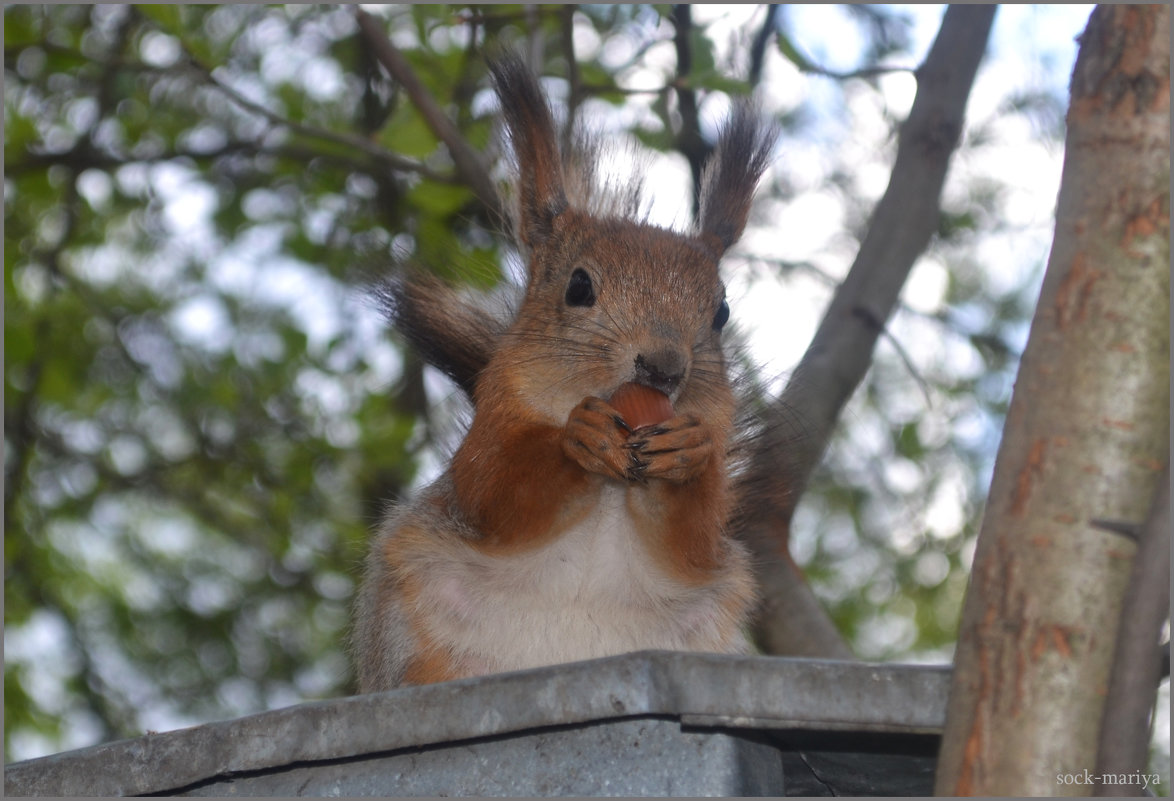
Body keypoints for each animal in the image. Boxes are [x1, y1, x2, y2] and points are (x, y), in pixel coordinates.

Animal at [352, 53, 774, 690]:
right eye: (578, 287)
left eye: (721, 312)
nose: (664, 366)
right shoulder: (493, 426)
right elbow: (498, 490)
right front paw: (577, 439)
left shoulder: (703, 519)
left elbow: (694, 537)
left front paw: (689, 453)